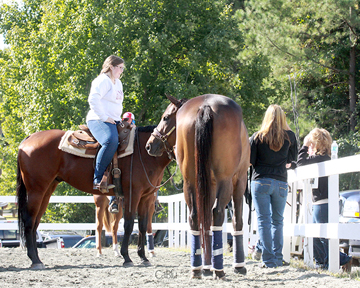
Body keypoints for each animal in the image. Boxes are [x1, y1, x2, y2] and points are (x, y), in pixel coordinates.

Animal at [16, 125, 169, 268]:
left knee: (36, 222)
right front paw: (127, 258)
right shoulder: (133, 194)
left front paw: (144, 257)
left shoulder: (146, 197)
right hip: (36, 190)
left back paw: (37, 258)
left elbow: (143, 226)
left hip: (47, 191)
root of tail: (29, 138)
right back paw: (35, 260)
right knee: (29, 221)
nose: (151, 148)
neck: (141, 152)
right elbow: (129, 225)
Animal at [146, 94, 250, 280]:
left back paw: (197, 268)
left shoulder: (208, 186)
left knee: (195, 217)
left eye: (165, 117)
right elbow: (237, 221)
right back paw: (219, 270)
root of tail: (205, 106)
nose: (150, 144)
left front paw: (207, 266)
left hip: (190, 182)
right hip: (225, 181)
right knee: (217, 214)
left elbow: (205, 221)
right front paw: (238, 266)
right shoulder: (239, 180)